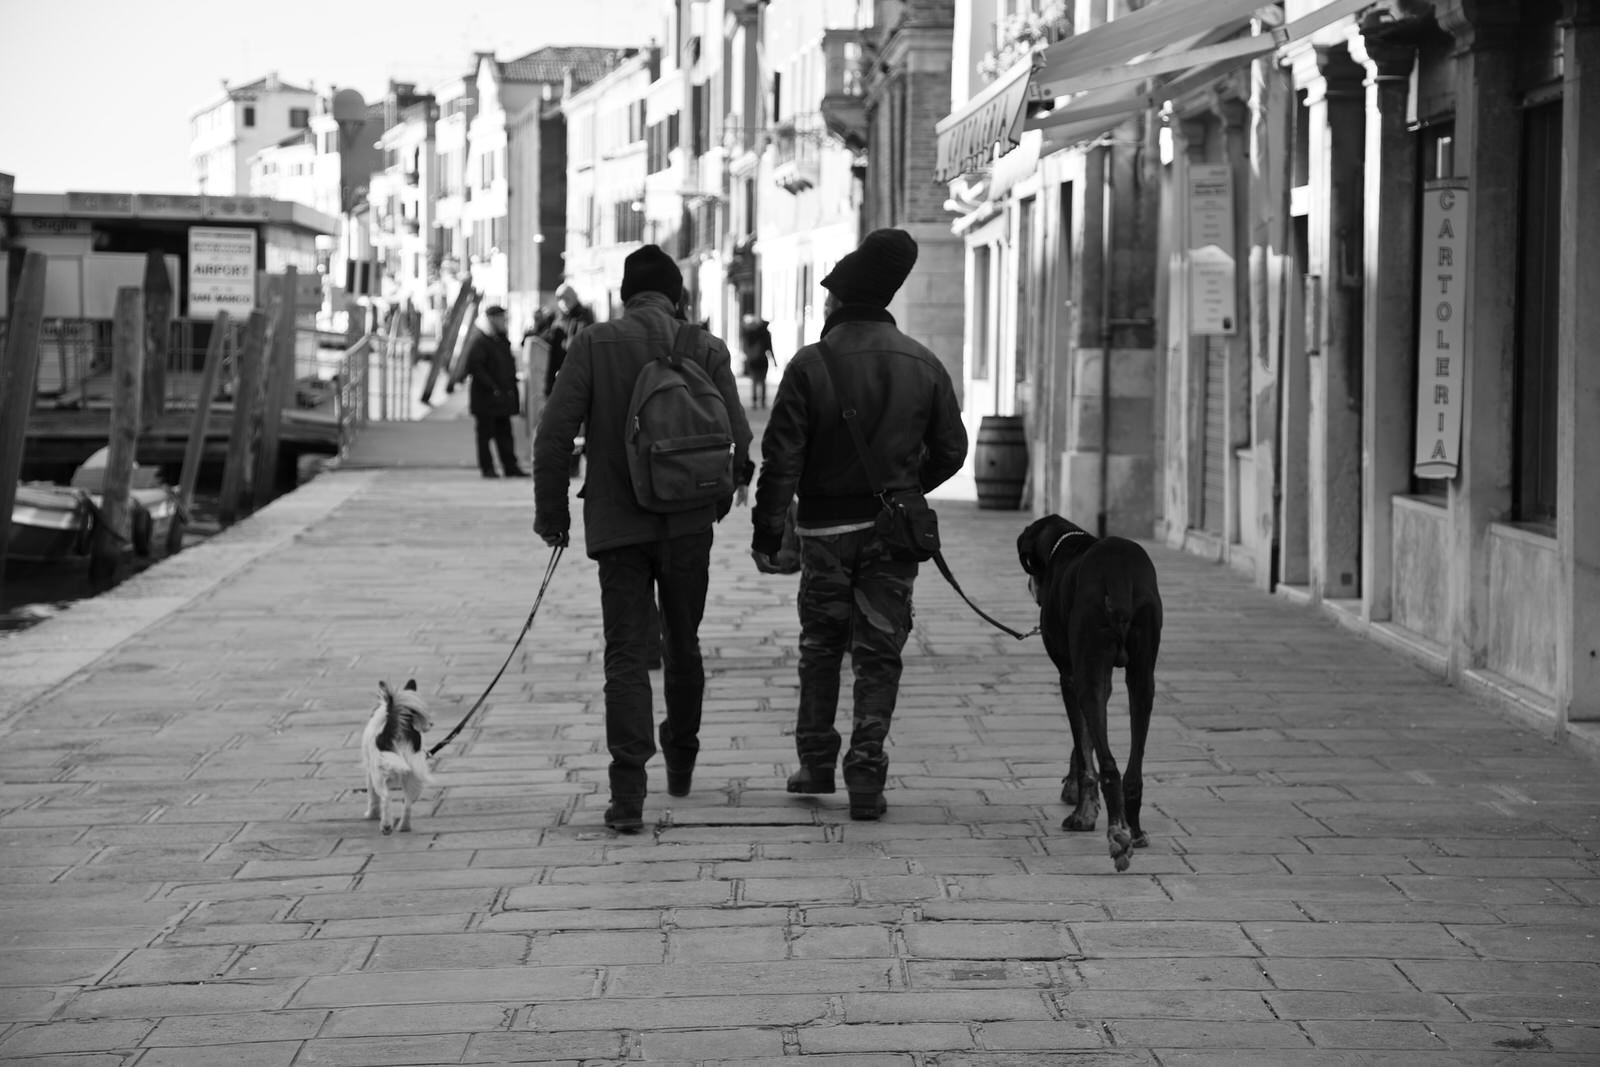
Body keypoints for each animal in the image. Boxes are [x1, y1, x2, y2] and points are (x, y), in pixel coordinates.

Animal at [363, 684, 435, 831]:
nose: (431, 724)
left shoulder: (370, 772)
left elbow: (372, 797)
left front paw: (371, 814)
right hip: (414, 772)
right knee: (408, 803)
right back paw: (404, 826)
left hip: (380, 774)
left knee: (386, 798)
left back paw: (386, 826)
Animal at [1024, 511, 1164, 870]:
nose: (1031, 588)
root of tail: (1118, 574)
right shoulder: (1101, 676)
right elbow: (1084, 740)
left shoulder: (1071, 676)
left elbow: (1085, 747)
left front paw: (1083, 812)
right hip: (1143, 675)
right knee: (1131, 767)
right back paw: (1134, 828)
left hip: (1089, 664)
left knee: (1108, 766)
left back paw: (1117, 833)